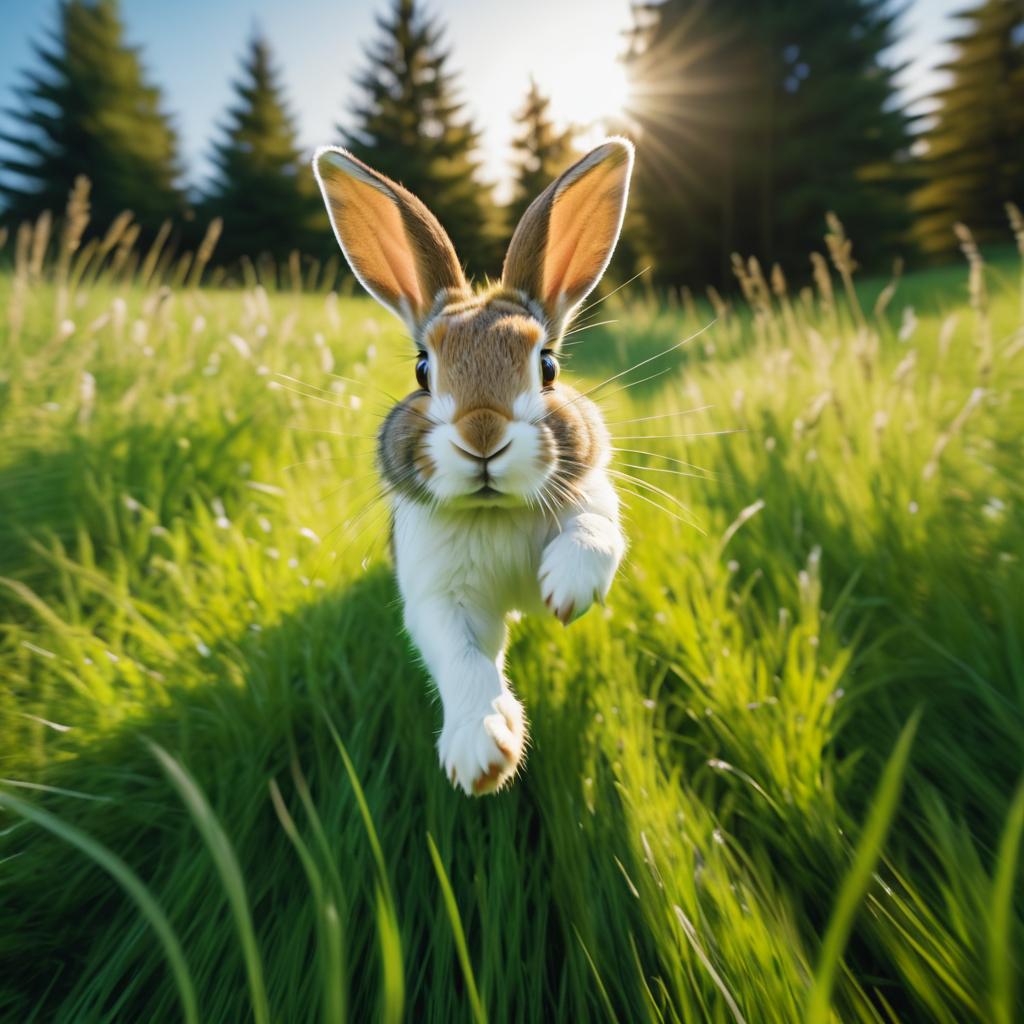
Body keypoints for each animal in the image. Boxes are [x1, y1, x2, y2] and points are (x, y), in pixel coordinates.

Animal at [311, 138, 630, 790]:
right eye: (422, 370)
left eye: (548, 366)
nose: (482, 437)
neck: (494, 510)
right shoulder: (439, 599)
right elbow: (463, 659)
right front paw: (482, 751)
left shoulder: (593, 501)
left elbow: (594, 533)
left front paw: (566, 590)